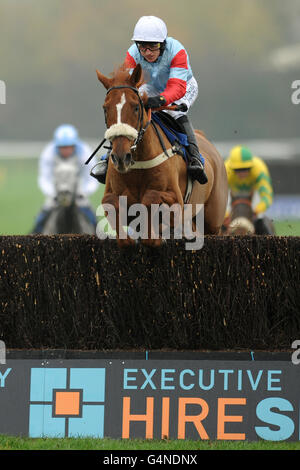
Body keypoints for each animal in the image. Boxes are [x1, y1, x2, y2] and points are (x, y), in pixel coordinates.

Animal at [95, 64, 227, 248]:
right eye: (105, 108)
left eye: (136, 107)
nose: (121, 157)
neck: (138, 163)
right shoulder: (112, 194)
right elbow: (112, 205)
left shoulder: (176, 201)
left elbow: (150, 199)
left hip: (213, 221)